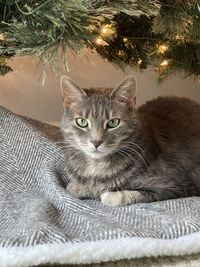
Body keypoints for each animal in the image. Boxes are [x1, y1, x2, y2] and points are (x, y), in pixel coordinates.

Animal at [60, 75, 200, 207]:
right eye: (82, 122)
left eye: (113, 122)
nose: (96, 142)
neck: (96, 167)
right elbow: (71, 188)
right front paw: (81, 188)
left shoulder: (173, 185)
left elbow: (110, 197)